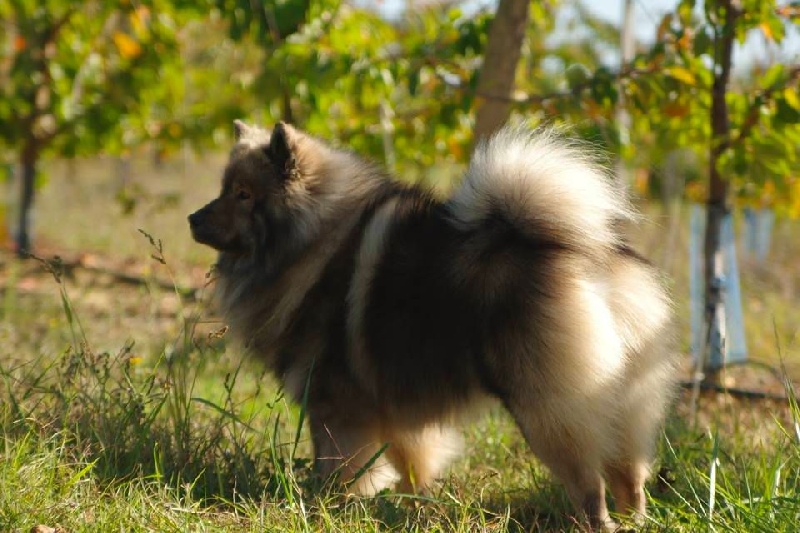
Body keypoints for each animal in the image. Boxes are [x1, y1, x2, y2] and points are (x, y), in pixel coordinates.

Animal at [189, 120, 677, 529]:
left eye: (243, 195)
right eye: (224, 189)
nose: (194, 218)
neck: (312, 243)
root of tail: (580, 250)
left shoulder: (335, 404)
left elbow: (337, 466)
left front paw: (329, 505)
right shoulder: (391, 406)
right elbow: (412, 461)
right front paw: (415, 502)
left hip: (545, 406)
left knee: (588, 481)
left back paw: (595, 522)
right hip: (624, 395)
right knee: (629, 473)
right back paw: (635, 521)